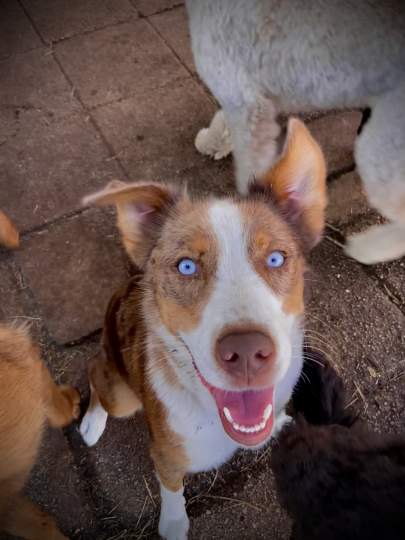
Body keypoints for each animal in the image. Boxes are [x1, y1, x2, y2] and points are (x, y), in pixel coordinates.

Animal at [186, 0, 404, 266]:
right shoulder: (248, 99)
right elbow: (224, 119)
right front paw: (212, 141)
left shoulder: (247, 105)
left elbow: (249, 168)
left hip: (380, 150)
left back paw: (368, 249)